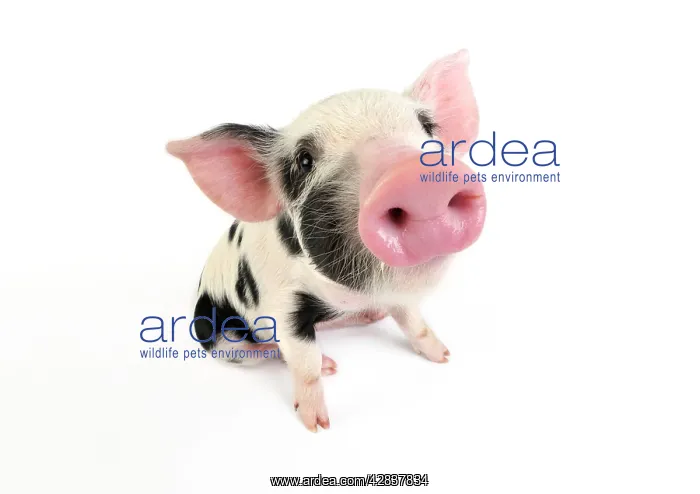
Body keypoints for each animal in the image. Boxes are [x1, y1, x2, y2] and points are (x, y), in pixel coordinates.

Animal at [166, 50, 486, 432]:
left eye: (427, 128)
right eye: (304, 161)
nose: (414, 177)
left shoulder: (397, 295)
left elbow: (414, 323)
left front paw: (444, 357)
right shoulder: (283, 306)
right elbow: (304, 363)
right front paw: (317, 424)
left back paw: (370, 317)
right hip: (224, 339)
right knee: (262, 351)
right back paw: (329, 362)